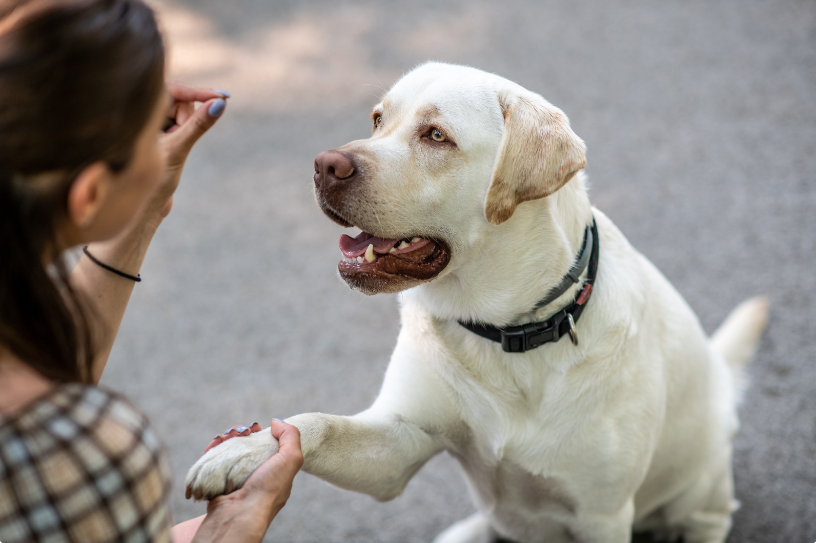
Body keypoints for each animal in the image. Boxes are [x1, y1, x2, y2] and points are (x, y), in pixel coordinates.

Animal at [186, 63, 772, 543]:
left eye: (436, 136)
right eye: (377, 119)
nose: (324, 165)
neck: (506, 331)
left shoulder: (602, 516)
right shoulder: (398, 443)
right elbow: (316, 424)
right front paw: (243, 451)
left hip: (701, 489)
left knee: (708, 518)